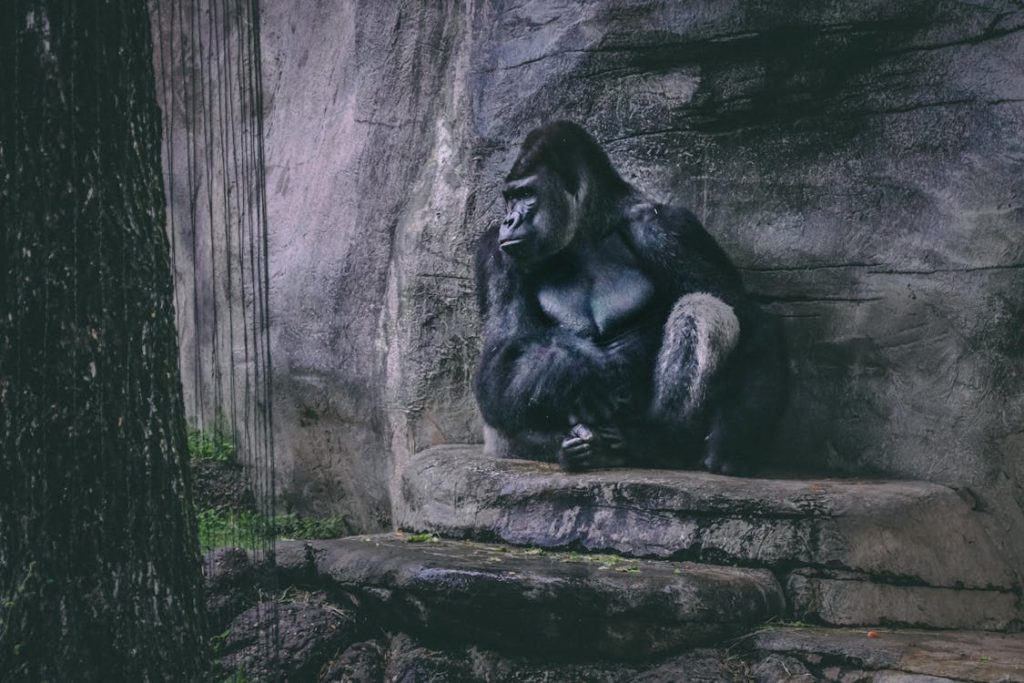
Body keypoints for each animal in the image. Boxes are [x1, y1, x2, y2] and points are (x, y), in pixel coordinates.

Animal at [475, 121, 786, 475]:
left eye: (526, 195)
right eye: (510, 198)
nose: (508, 220)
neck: (588, 229)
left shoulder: (669, 228)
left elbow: (749, 317)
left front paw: (735, 436)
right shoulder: (496, 253)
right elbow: (501, 350)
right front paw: (564, 366)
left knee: (701, 307)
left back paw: (656, 441)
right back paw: (569, 447)